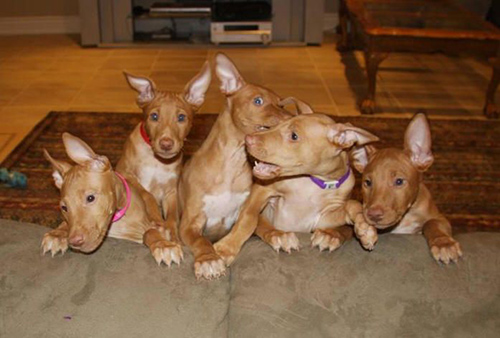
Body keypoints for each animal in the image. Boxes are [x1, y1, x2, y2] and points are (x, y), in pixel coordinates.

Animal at [40, 132, 172, 262]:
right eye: (64, 208)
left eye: (90, 198)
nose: (75, 242)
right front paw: (58, 234)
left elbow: (149, 232)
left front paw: (162, 244)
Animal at [116, 62, 210, 266]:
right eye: (154, 117)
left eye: (181, 118)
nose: (166, 144)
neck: (157, 161)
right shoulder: (126, 174)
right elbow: (147, 194)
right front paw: (156, 218)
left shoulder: (171, 192)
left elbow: (173, 217)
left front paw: (173, 236)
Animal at [180, 53, 294, 280]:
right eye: (258, 101)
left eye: (281, 104)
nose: (293, 119)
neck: (231, 163)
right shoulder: (189, 224)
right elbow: (201, 240)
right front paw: (208, 259)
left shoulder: (245, 210)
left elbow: (254, 223)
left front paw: (278, 234)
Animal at [214, 111, 378, 264]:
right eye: (278, 124)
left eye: (294, 136)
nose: (247, 139)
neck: (312, 182)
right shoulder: (263, 189)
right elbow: (249, 217)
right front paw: (226, 248)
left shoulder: (320, 219)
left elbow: (352, 204)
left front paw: (365, 228)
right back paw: (279, 235)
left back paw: (329, 236)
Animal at [354, 113, 462, 264]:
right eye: (368, 183)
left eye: (399, 181)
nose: (373, 215)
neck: (405, 217)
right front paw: (365, 229)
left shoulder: (440, 218)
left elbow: (432, 223)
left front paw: (444, 243)